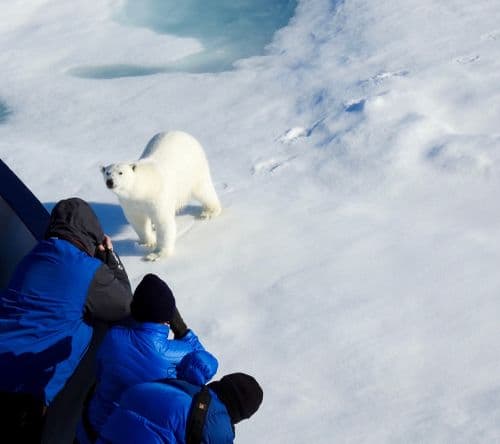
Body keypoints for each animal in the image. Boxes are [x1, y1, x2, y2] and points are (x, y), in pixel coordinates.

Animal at [100, 130, 222, 260]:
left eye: (120, 173)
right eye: (107, 172)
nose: (110, 182)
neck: (143, 188)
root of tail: (183, 133)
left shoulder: (158, 197)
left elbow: (163, 222)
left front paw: (156, 254)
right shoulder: (130, 203)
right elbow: (138, 221)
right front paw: (148, 243)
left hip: (194, 168)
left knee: (203, 190)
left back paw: (209, 212)